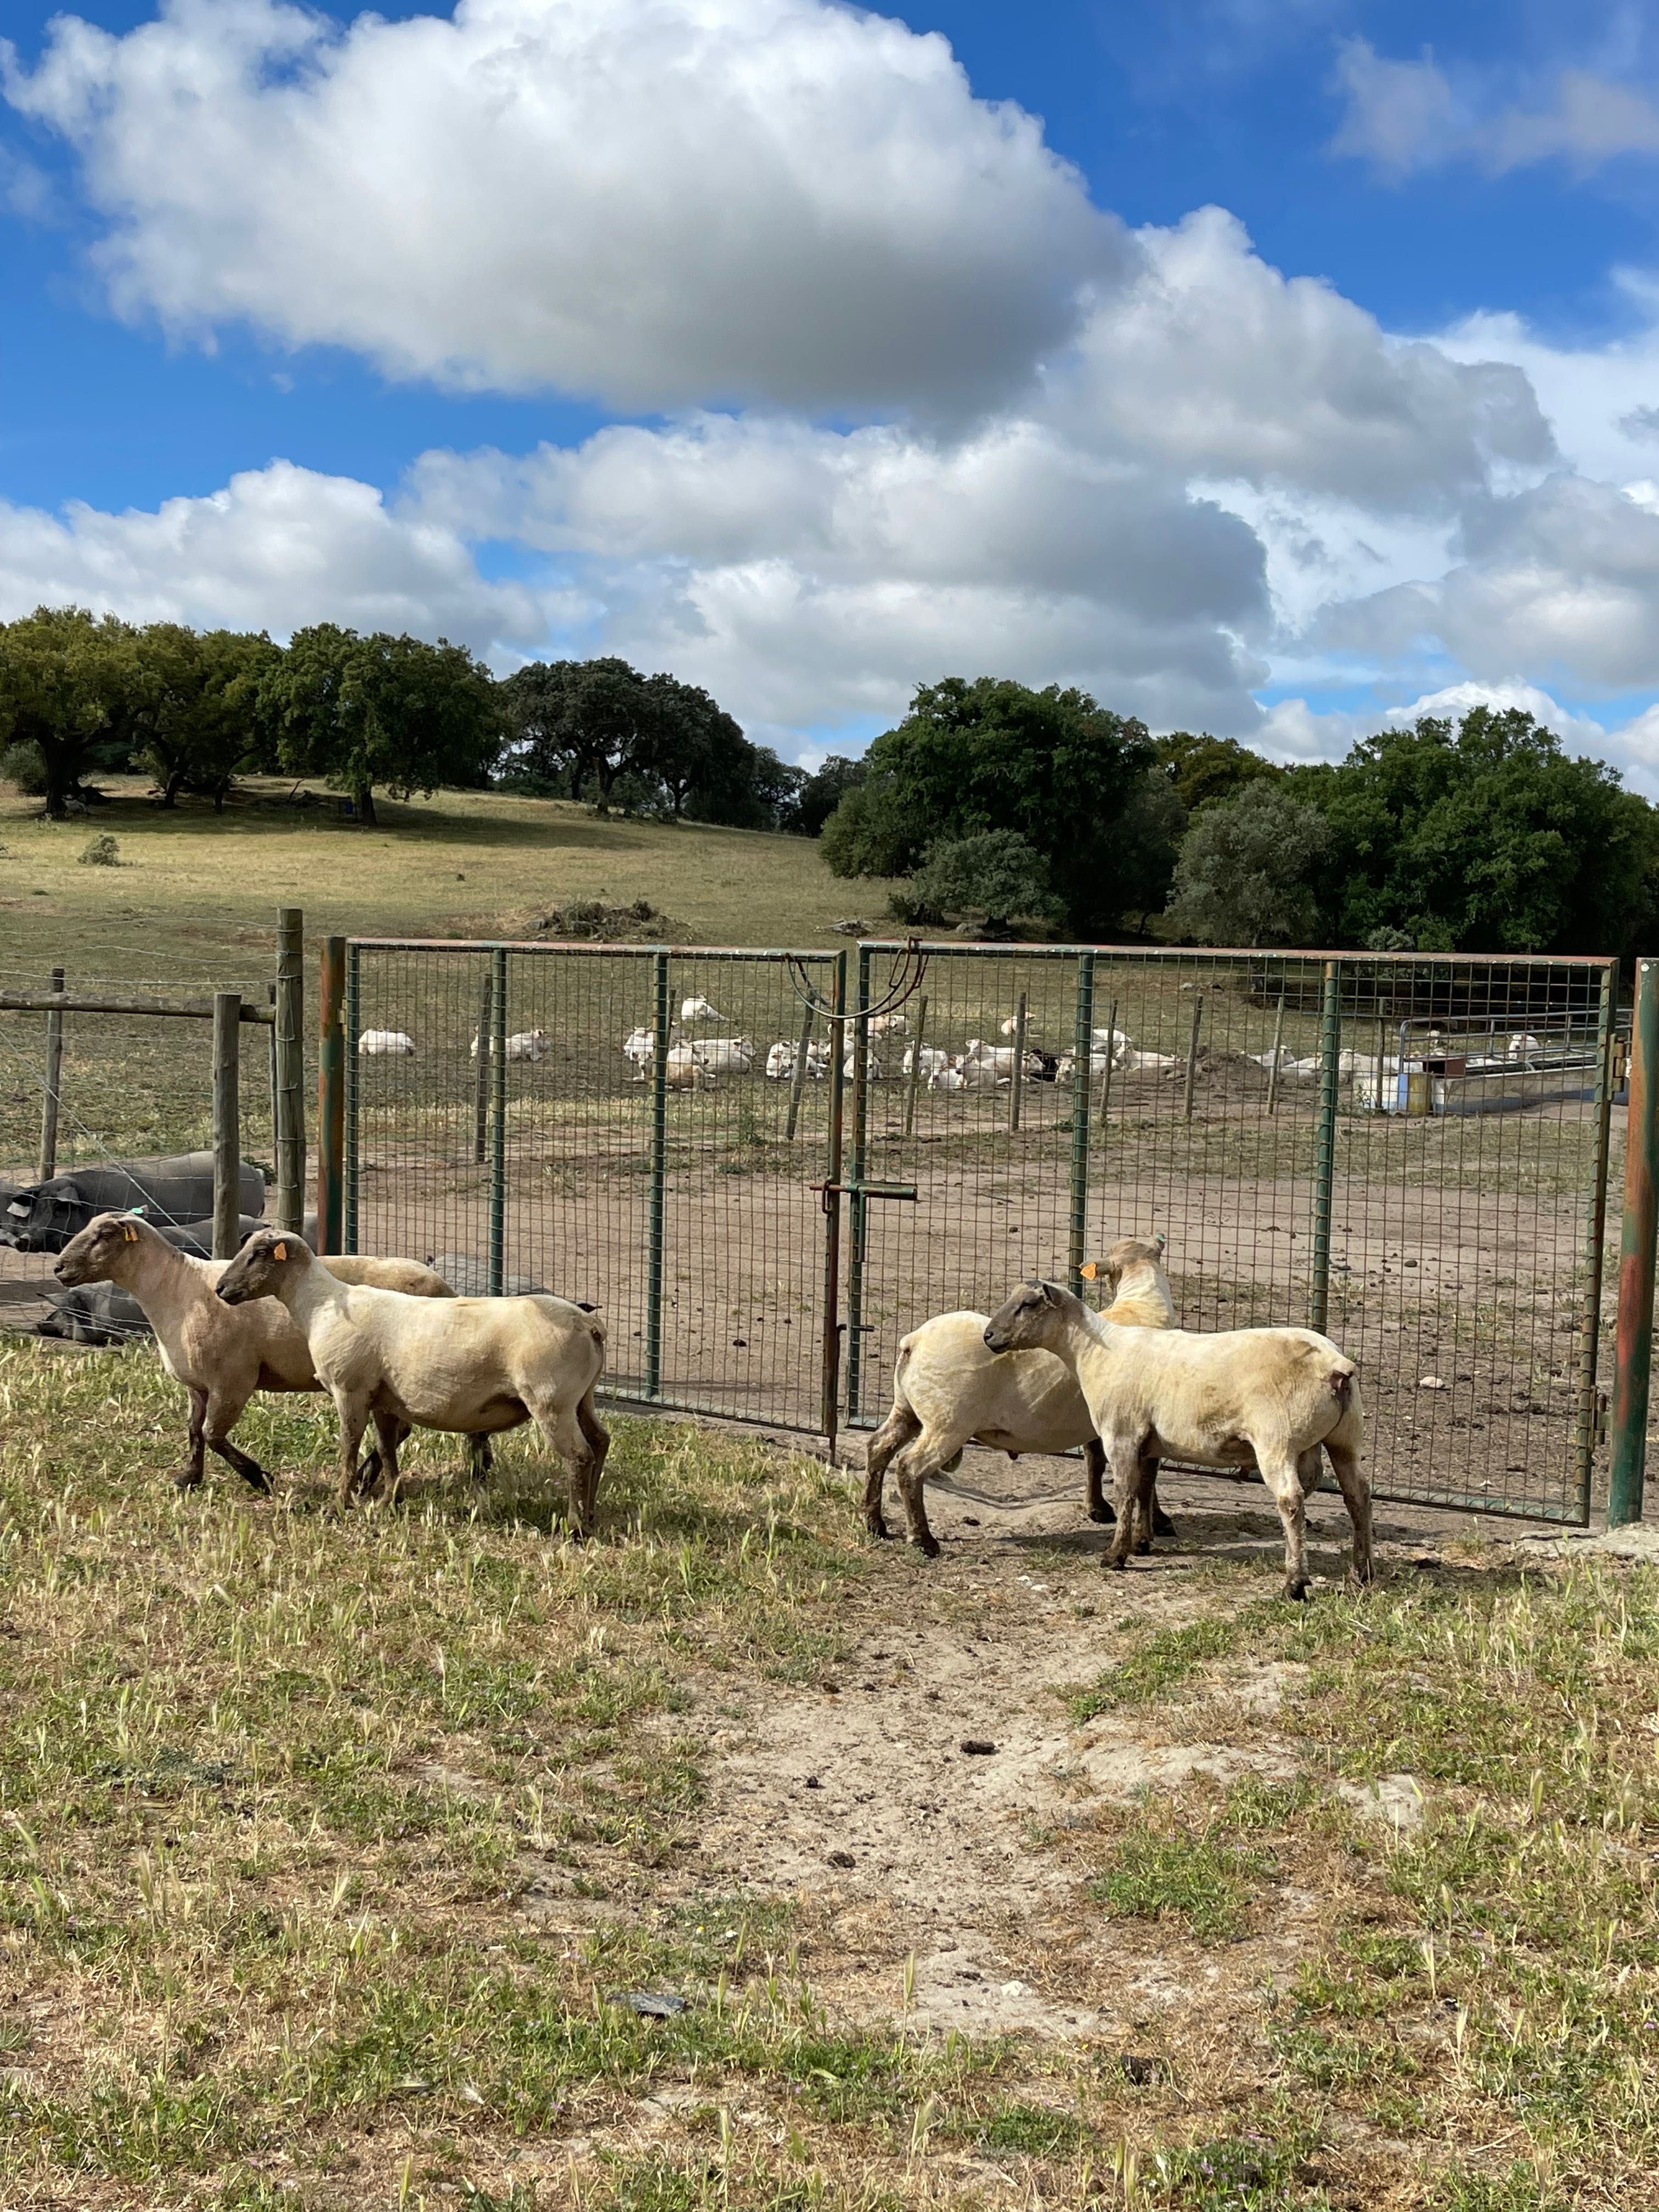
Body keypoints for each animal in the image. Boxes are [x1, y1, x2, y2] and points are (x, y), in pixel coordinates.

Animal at [57, 1221, 487, 1495]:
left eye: (103, 1234)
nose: (59, 1267)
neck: (175, 1290)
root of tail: (444, 1285)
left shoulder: (233, 1379)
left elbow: (213, 1434)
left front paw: (259, 1479)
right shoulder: (198, 1383)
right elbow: (194, 1432)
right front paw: (188, 1479)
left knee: (408, 1429)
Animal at [216, 1238, 610, 1531]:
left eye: (259, 1253)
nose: (221, 1289)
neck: (319, 1305)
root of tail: (589, 1325)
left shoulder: (350, 1389)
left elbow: (348, 1448)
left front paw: (338, 1506)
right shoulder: (383, 1399)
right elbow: (387, 1449)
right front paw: (387, 1502)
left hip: (551, 1401)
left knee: (579, 1456)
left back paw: (575, 1527)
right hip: (581, 1399)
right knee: (600, 1442)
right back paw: (591, 1514)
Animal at [862, 1238, 1186, 1566]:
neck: (1142, 1303)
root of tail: (913, 1342)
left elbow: (1095, 1459)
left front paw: (1099, 1509)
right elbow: (1146, 1479)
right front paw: (1157, 1522)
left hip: (908, 1410)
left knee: (879, 1449)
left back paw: (875, 1524)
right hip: (948, 1423)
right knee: (910, 1468)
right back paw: (923, 1540)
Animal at [982, 1274, 1371, 1601]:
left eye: (1028, 1304)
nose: (988, 1336)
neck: (1091, 1352)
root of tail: (1335, 1365)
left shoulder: (1121, 1433)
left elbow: (1126, 1490)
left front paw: (1115, 1555)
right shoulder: (1150, 1440)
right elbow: (1145, 1485)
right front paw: (1142, 1542)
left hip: (1277, 1439)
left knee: (1291, 1501)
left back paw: (1295, 1583)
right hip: (1344, 1439)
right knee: (1358, 1496)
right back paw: (1361, 1573)